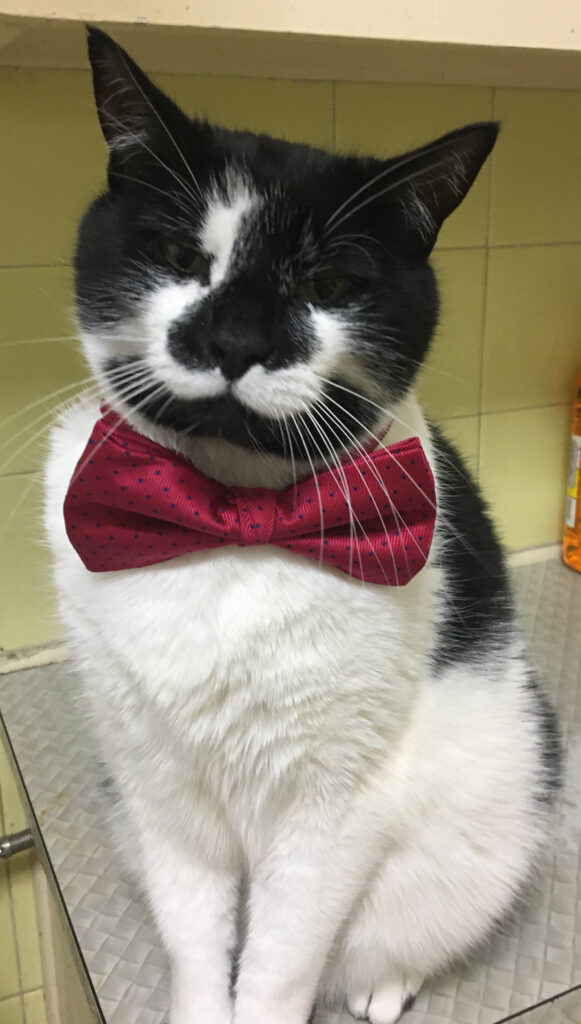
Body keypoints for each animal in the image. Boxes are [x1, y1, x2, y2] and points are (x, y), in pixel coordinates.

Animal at [45, 28, 565, 1024]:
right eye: (179, 256)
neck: (228, 522)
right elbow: (198, 949)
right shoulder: (159, 790)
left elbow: (280, 968)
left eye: (327, 284)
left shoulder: (333, 808)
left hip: (490, 807)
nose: (234, 341)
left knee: (389, 942)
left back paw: (383, 988)